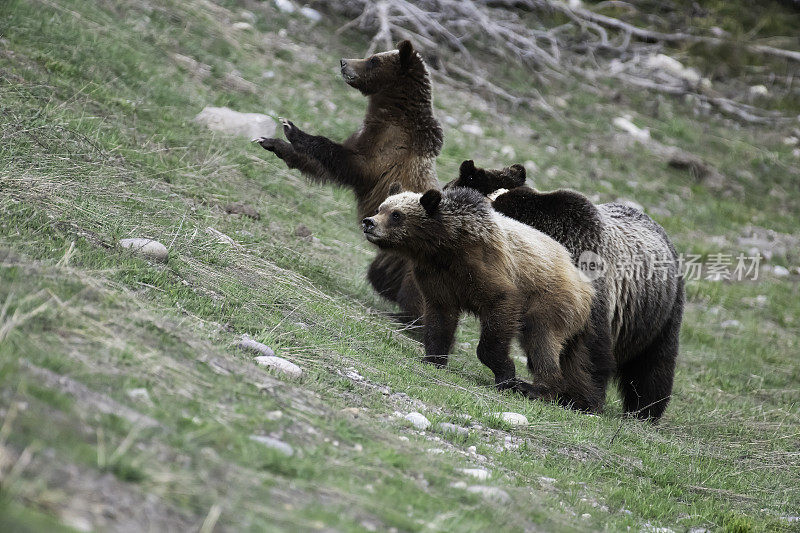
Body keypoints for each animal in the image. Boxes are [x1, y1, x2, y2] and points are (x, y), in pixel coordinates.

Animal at [255, 41, 440, 320]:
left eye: (373, 60)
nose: (344, 62)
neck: (391, 116)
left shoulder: (387, 153)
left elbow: (345, 161)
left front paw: (292, 129)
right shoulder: (365, 138)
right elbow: (326, 166)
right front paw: (273, 141)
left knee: (418, 289)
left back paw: (409, 318)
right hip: (391, 260)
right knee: (378, 275)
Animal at [360, 185, 608, 406]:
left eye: (396, 214)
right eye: (381, 207)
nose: (369, 222)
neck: (443, 246)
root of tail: (587, 288)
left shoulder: (481, 266)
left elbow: (499, 306)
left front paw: (507, 374)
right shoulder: (437, 278)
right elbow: (439, 318)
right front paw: (434, 358)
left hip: (550, 302)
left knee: (543, 342)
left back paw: (538, 389)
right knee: (575, 361)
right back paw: (582, 398)